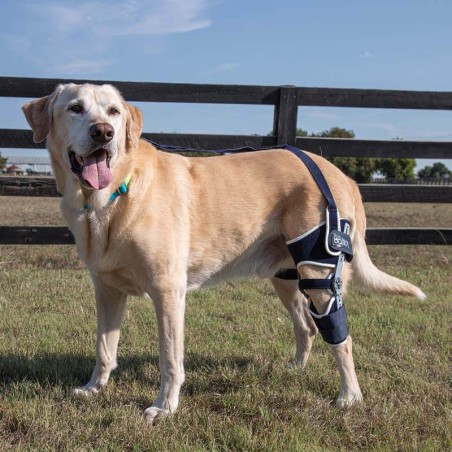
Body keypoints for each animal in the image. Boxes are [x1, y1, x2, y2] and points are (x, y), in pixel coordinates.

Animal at [22, 84, 424, 424]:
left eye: (114, 111)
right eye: (75, 108)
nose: (103, 132)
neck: (116, 192)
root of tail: (341, 174)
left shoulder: (168, 292)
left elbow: (170, 359)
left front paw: (164, 407)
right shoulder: (107, 291)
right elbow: (104, 348)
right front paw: (94, 388)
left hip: (319, 274)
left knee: (341, 338)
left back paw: (349, 396)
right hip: (286, 278)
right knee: (307, 327)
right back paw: (296, 369)